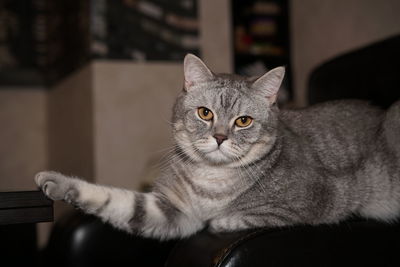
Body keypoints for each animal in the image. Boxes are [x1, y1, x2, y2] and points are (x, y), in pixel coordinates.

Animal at [35, 54, 400, 241]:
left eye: (243, 121)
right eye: (205, 113)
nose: (220, 137)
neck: (212, 179)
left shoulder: (316, 201)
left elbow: (250, 216)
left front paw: (224, 220)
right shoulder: (174, 212)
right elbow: (114, 199)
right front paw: (57, 182)